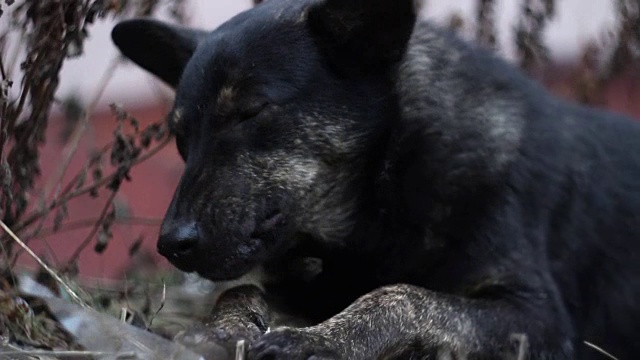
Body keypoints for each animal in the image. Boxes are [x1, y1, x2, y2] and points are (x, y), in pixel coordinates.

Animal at [111, 1, 640, 358]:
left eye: (251, 111)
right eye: (181, 136)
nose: (171, 244)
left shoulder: (538, 316)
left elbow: (401, 295)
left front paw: (321, 340)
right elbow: (237, 290)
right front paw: (225, 330)